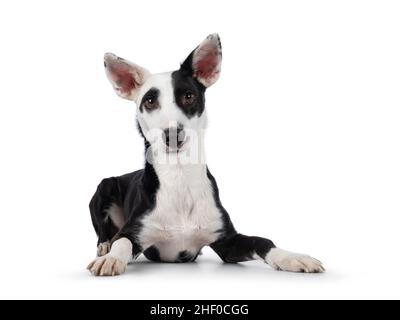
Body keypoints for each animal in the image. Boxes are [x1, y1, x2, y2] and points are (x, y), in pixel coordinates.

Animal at [87, 33, 324, 276]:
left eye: (189, 96)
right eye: (150, 101)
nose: (173, 134)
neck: (180, 176)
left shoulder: (228, 241)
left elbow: (262, 241)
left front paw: (292, 257)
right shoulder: (135, 230)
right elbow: (122, 241)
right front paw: (112, 258)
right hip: (104, 186)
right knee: (105, 233)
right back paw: (104, 246)